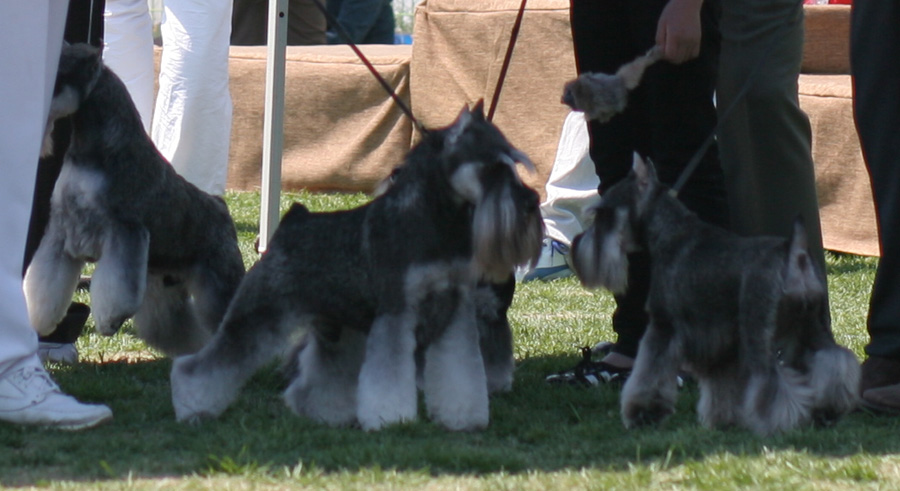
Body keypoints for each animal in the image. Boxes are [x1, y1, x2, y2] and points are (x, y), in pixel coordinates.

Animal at [25, 44, 243, 356]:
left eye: (58, 76)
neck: (95, 150)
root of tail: (220, 207)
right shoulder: (60, 231)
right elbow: (44, 283)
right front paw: (39, 318)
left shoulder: (125, 231)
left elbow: (116, 287)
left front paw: (108, 320)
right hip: (162, 289)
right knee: (182, 330)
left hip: (219, 282)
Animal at [172, 103, 544, 430]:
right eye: (493, 168)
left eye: (513, 163)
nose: (532, 202)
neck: (433, 219)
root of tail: (293, 221)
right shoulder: (397, 313)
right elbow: (390, 377)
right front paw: (391, 421)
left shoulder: (456, 314)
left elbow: (461, 373)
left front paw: (464, 419)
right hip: (258, 314)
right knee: (204, 364)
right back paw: (192, 408)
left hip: (338, 328)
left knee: (321, 376)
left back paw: (323, 414)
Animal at [568, 158, 856, 434]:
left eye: (603, 214)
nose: (575, 247)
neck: (671, 233)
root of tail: (795, 254)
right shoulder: (719, 343)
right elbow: (721, 386)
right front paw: (722, 421)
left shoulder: (663, 327)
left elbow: (649, 375)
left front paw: (642, 414)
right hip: (811, 326)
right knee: (833, 361)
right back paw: (827, 411)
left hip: (758, 331)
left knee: (770, 379)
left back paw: (777, 424)